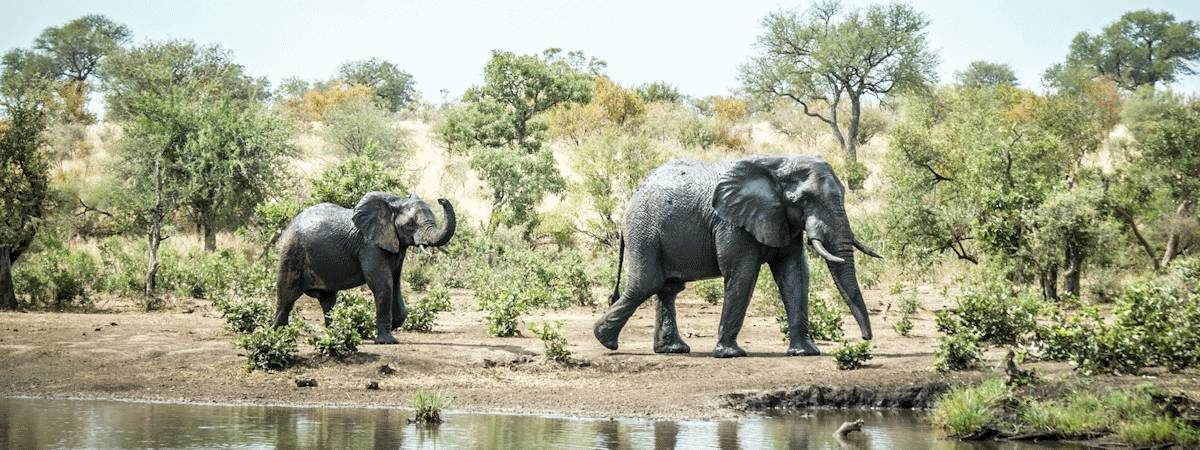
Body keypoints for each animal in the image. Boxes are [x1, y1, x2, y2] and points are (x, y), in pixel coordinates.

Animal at [274, 192, 456, 343]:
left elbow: (395, 283)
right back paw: (280, 336)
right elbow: (383, 285)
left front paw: (393, 325)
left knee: (328, 300)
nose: (441, 199)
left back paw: (334, 335)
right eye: (410, 225)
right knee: (286, 298)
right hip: (292, 254)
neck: (395, 203)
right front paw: (387, 341)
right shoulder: (370, 246)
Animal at [592, 156, 883, 360]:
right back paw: (605, 340)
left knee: (668, 288)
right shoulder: (731, 223)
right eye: (804, 200)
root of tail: (633, 197)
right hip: (644, 231)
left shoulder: (782, 220)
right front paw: (730, 355)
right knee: (646, 283)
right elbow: (743, 272)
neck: (777, 166)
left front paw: (805, 353)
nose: (866, 339)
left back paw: (672, 349)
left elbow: (795, 274)